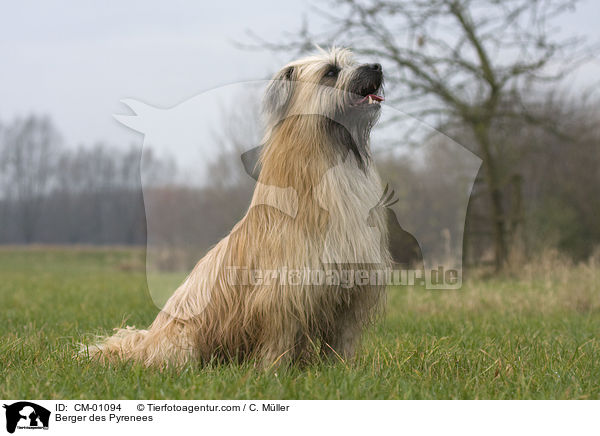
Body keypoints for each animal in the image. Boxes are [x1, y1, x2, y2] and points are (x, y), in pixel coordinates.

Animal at [86, 47, 392, 368]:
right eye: (331, 72)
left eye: (349, 62)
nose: (377, 66)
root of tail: (145, 344)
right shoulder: (283, 293)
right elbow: (280, 338)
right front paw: (274, 369)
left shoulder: (352, 290)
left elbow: (342, 339)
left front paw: (343, 369)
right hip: (183, 339)